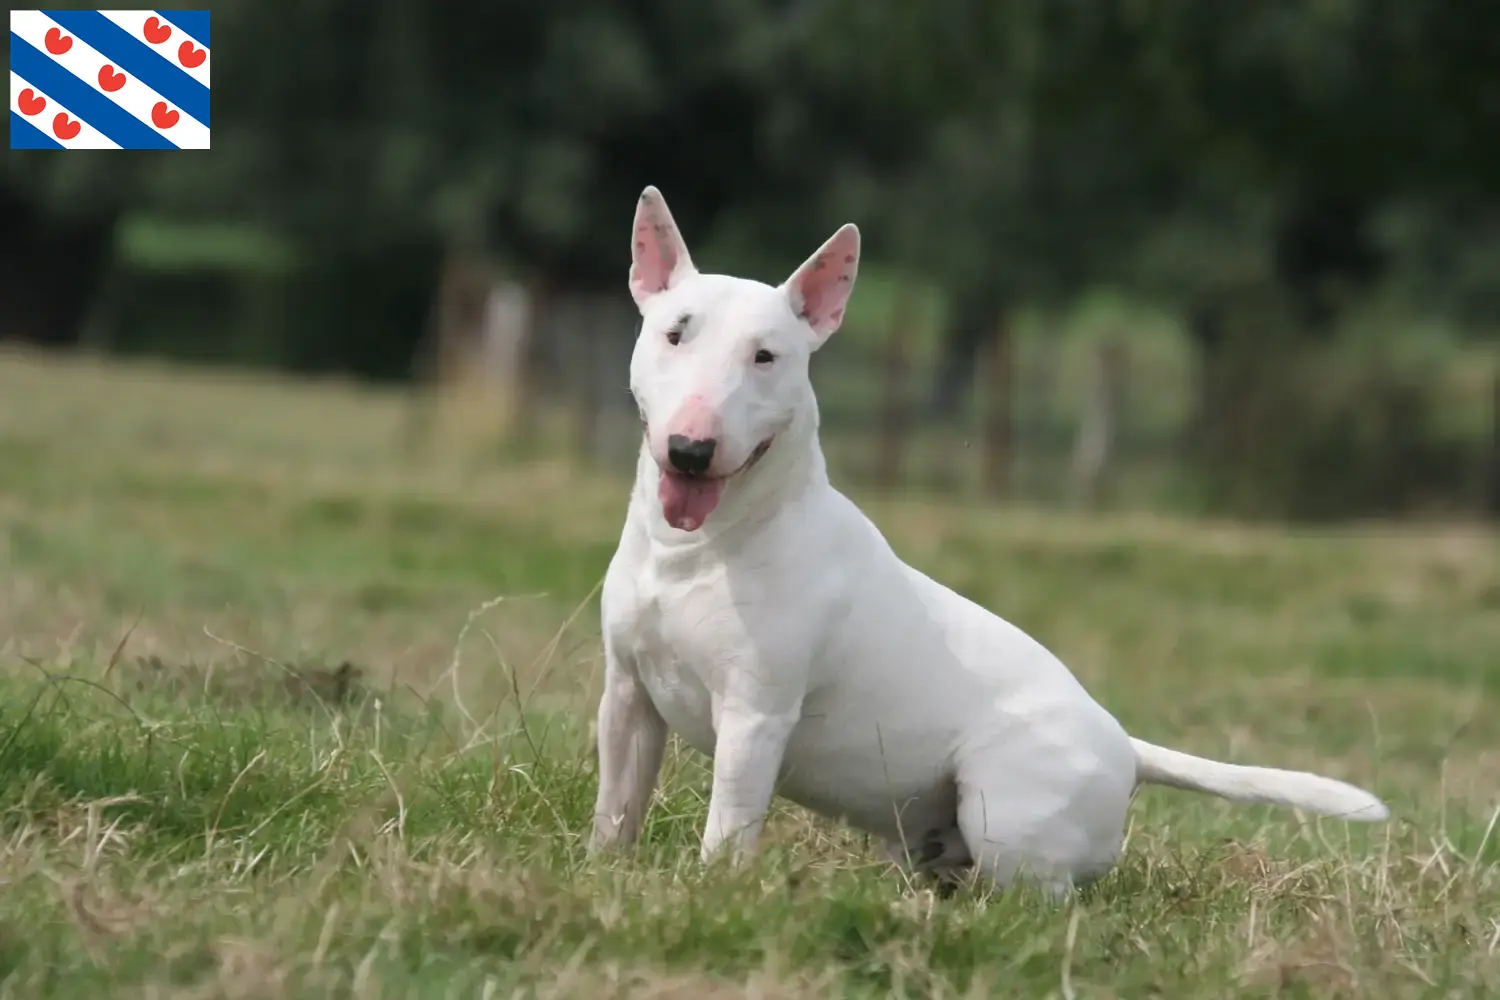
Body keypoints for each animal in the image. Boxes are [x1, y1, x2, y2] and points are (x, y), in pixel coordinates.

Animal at [591, 187, 1386, 899]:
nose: (692, 450)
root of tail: (1126, 748)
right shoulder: (627, 694)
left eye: (766, 356)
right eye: (674, 333)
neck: (698, 550)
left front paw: (712, 891)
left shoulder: (756, 717)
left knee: (1042, 895)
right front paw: (603, 872)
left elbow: (729, 825)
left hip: (1005, 810)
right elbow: (617, 805)